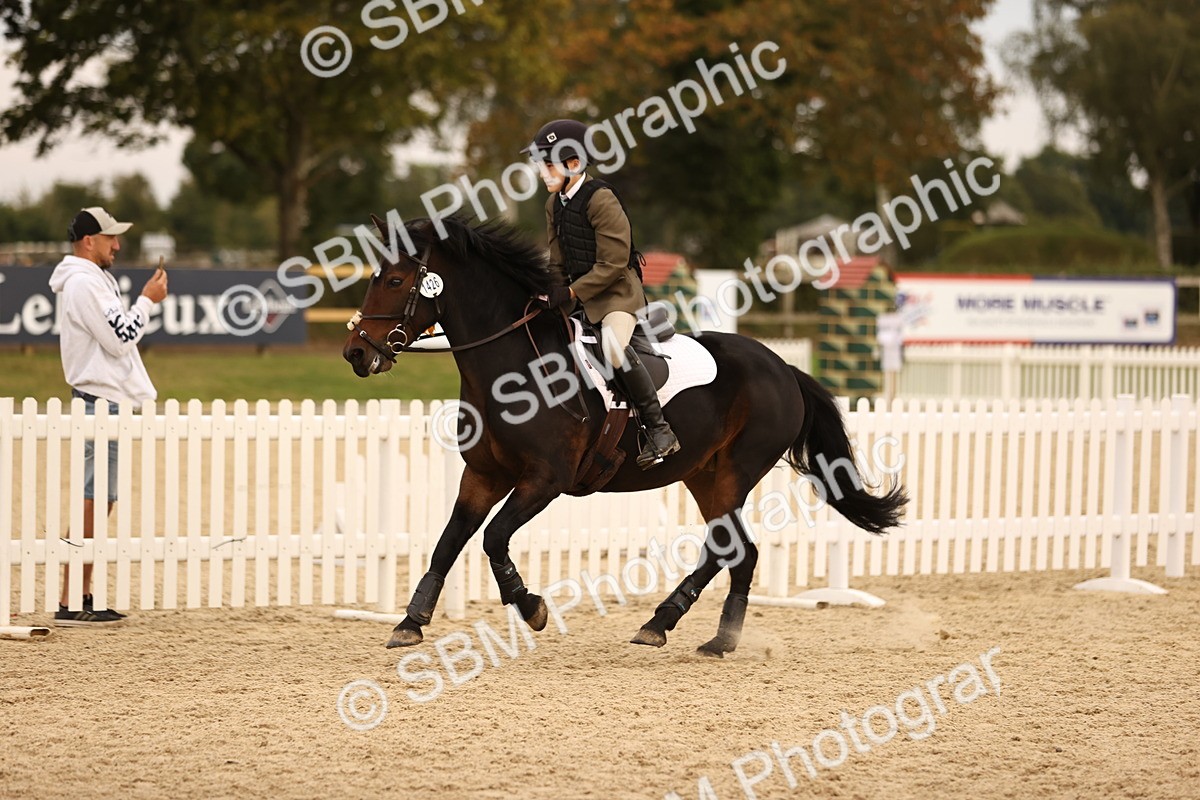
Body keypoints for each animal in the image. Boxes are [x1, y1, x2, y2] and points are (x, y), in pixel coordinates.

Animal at [342, 214, 907, 655]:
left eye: (395, 280)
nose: (356, 352)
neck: (513, 365)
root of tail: (784, 367)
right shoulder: (483, 474)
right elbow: (449, 541)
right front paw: (410, 622)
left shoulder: (544, 480)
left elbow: (493, 537)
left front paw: (531, 607)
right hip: (703, 477)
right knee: (739, 552)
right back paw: (710, 636)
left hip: (735, 472)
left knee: (726, 548)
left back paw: (667, 623)